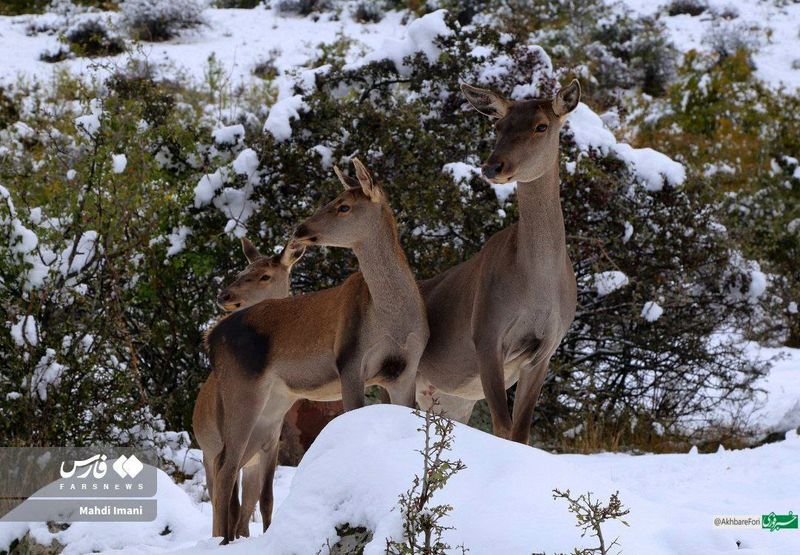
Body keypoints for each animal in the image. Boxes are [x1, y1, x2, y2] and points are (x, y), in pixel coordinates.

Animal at [194, 236, 306, 540]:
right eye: (242, 271)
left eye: (265, 275)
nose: (224, 295)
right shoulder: (222, 445)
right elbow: (228, 506)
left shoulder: (271, 443)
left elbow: (266, 500)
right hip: (209, 453)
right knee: (221, 504)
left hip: (250, 460)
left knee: (244, 510)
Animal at [208, 159, 432, 544]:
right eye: (333, 199)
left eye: (343, 205)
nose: (300, 227)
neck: (393, 319)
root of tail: (212, 337)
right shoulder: (350, 361)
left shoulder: (404, 370)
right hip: (241, 387)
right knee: (226, 466)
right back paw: (222, 540)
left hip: (271, 403)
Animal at [412, 79, 580, 444]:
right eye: (498, 126)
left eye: (541, 126)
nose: (492, 167)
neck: (537, 288)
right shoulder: (487, 332)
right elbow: (502, 427)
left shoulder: (546, 348)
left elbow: (520, 432)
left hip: (449, 397)